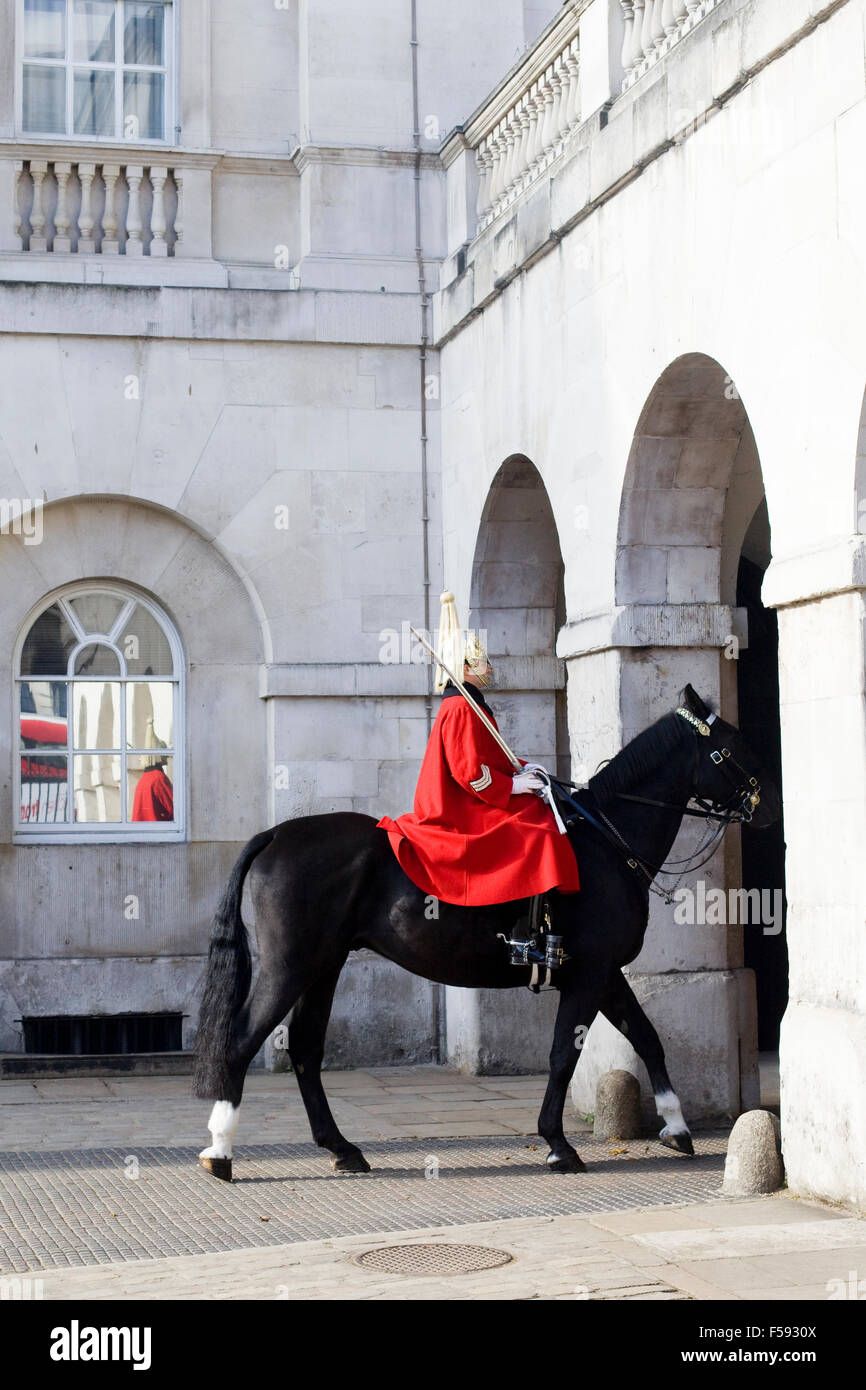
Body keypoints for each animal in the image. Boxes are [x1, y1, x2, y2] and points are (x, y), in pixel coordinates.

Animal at [193, 681, 783, 1173]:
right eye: (732, 748)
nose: (772, 809)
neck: (607, 841)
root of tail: (274, 834)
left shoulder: (605, 973)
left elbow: (647, 1038)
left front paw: (676, 1125)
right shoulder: (589, 974)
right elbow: (564, 1054)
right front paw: (558, 1144)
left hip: (324, 965)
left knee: (305, 1050)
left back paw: (341, 1149)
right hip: (290, 965)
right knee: (240, 1043)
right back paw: (221, 1151)